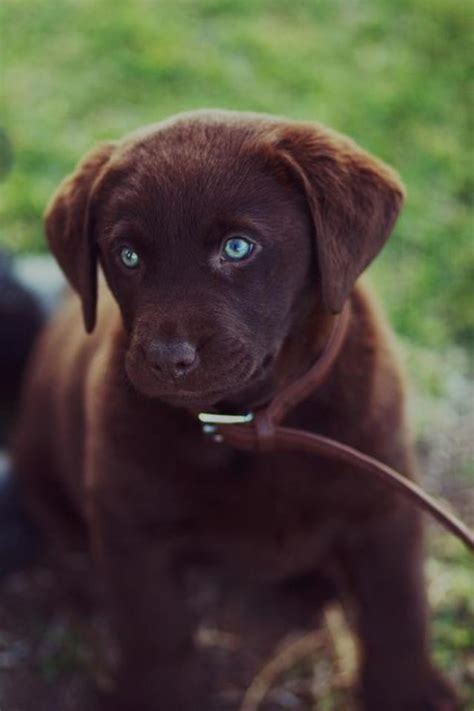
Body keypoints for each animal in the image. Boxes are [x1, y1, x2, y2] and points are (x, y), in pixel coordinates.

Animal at [13, 111, 456, 708]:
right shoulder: (131, 528)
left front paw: (407, 690)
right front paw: (159, 694)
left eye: (238, 247)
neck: (248, 423)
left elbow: (397, 610)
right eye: (127, 255)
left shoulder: (384, 506)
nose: (166, 358)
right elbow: (156, 632)